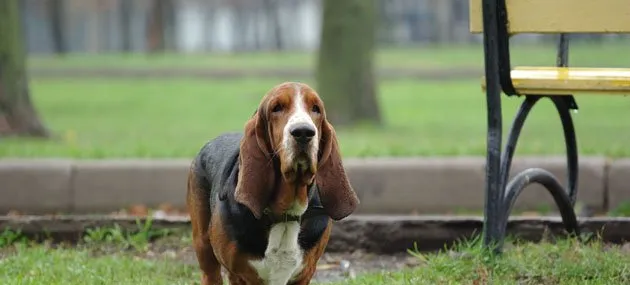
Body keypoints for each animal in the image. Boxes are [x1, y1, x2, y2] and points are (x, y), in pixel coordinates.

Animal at [188, 81, 360, 282]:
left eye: (316, 108)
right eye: (276, 108)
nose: (304, 132)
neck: (285, 214)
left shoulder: (305, 274)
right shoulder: (237, 275)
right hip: (203, 247)